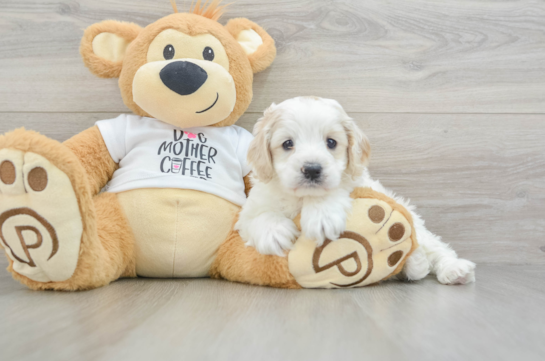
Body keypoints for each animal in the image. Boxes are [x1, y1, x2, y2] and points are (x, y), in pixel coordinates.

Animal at [236, 96, 474, 284]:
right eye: (287, 144)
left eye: (331, 142)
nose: (312, 169)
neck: (303, 198)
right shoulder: (252, 207)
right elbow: (257, 217)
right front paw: (274, 233)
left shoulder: (356, 182)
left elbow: (335, 190)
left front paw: (322, 217)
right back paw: (415, 263)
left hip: (416, 224)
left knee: (435, 248)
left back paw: (453, 269)